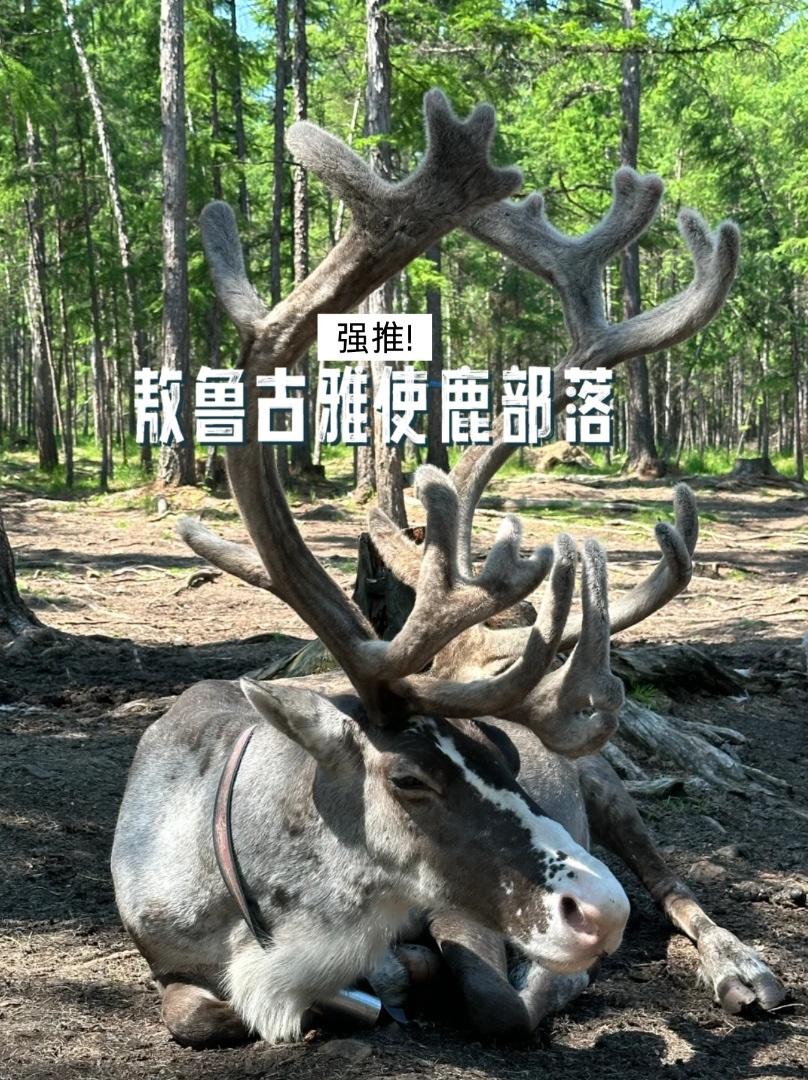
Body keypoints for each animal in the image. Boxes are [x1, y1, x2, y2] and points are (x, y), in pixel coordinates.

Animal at [111, 90, 785, 1049]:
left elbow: (493, 998)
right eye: (410, 779)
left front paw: (555, 983)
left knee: (677, 881)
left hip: (608, 789)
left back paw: (738, 964)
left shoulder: (459, 916)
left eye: (503, 756)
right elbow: (199, 1013)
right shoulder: (166, 954)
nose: (600, 912)